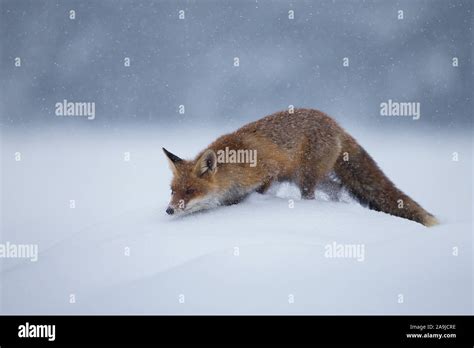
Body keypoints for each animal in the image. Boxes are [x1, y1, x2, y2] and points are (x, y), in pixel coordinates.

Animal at [165, 109, 438, 228]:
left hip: (305, 178)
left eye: (190, 191)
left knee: (315, 194)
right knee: (337, 188)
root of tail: (336, 124)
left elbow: (261, 192)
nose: (169, 210)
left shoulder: (269, 173)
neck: (234, 168)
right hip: (307, 177)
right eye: (172, 190)